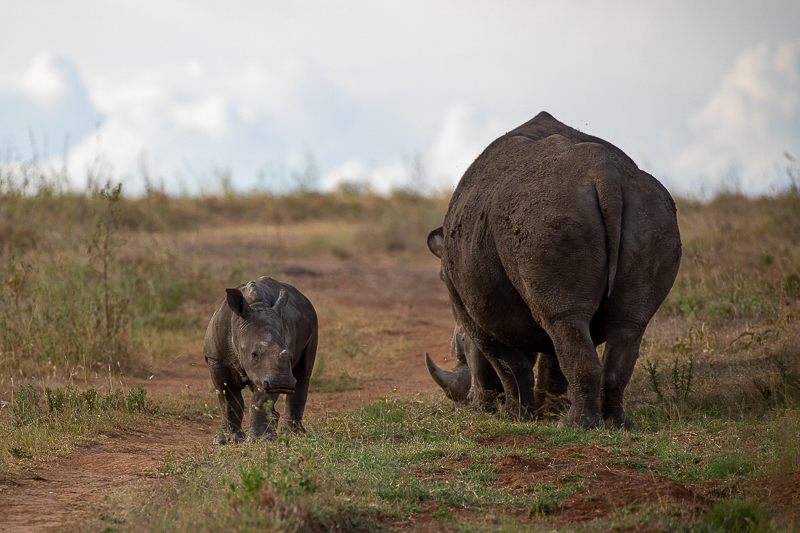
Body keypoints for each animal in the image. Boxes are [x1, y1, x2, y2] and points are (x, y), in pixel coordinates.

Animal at [205, 276, 318, 442]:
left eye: (290, 356)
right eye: (254, 354)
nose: (283, 382)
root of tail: (303, 297)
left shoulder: (272, 374)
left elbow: (260, 401)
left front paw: (260, 439)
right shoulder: (216, 359)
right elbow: (229, 400)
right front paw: (225, 440)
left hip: (312, 319)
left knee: (303, 373)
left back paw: (291, 434)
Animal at [424, 111, 680, 428]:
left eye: (457, 348)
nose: (467, 404)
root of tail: (604, 173)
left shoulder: (471, 314)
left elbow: (506, 363)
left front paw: (512, 416)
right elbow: (551, 359)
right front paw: (548, 410)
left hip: (548, 216)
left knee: (565, 322)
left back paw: (576, 425)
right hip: (649, 213)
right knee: (623, 322)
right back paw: (614, 424)